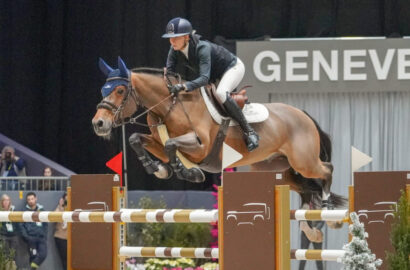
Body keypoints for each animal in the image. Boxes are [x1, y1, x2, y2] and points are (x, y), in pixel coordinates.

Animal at [91, 56, 344, 230]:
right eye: (103, 89)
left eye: (120, 90)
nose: (99, 123)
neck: (169, 106)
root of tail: (303, 114)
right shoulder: (157, 143)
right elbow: (138, 140)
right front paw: (160, 169)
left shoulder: (200, 147)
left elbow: (172, 144)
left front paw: (188, 173)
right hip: (276, 167)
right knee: (305, 186)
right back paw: (312, 219)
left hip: (304, 161)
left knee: (327, 170)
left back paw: (328, 209)